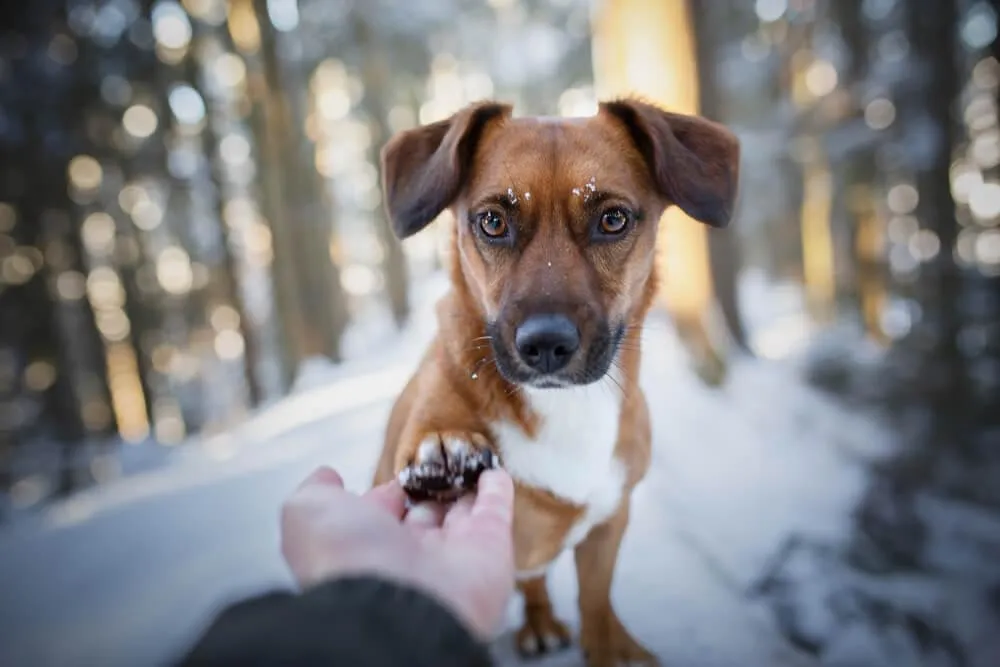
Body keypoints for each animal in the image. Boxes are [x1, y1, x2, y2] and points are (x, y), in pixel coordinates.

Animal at [372, 95, 740, 667]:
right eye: (493, 221)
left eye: (613, 219)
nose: (545, 344)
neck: (566, 409)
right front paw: (445, 443)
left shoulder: (608, 523)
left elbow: (596, 599)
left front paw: (611, 646)